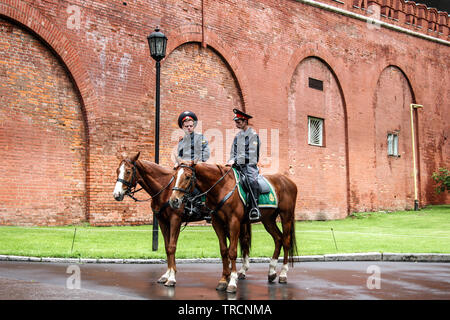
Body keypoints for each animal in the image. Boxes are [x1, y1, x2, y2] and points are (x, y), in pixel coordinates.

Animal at [114, 152, 188, 288]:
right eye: (118, 170)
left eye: (128, 171)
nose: (116, 194)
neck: (165, 189)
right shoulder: (162, 221)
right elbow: (167, 247)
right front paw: (167, 275)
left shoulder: (175, 219)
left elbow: (172, 247)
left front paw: (172, 278)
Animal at [169, 161, 298, 294]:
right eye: (174, 176)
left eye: (188, 177)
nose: (173, 200)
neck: (221, 188)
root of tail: (288, 181)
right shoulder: (217, 222)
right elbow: (223, 250)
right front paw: (223, 280)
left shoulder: (234, 222)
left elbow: (232, 251)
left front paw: (232, 282)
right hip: (268, 220)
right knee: (278, 239)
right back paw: (272, 271)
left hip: (286, 216)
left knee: (286, 242)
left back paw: (283, 274)